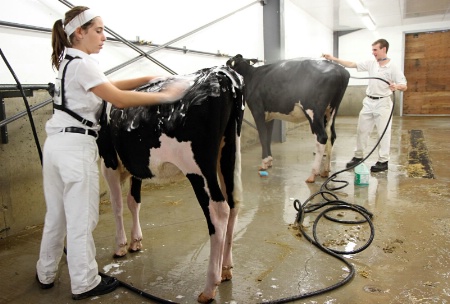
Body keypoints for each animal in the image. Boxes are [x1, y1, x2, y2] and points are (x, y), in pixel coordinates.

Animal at [96, 65, 244, 302]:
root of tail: (221, 72)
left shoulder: (108, 159)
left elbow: (117, 205)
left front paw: (120, 246)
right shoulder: (138, 165)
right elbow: (133, 201)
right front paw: (135, 241)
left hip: (198, 167)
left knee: (218, 211)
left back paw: (209, 287)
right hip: (229, 153)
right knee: (233, 204)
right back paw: (226, 269)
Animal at [227, 54, 350, 183]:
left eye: (228, 63)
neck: (251, 76)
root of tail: (339, 70)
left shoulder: (257, 110)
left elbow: (262, 136)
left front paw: (264, 163)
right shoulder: (269, 115)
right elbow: (268, 136)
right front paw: (269, 161)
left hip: (314, 111)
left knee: (322, 137)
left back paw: (313, 174)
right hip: (330, 111)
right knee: (332, 136)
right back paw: (326, 170)